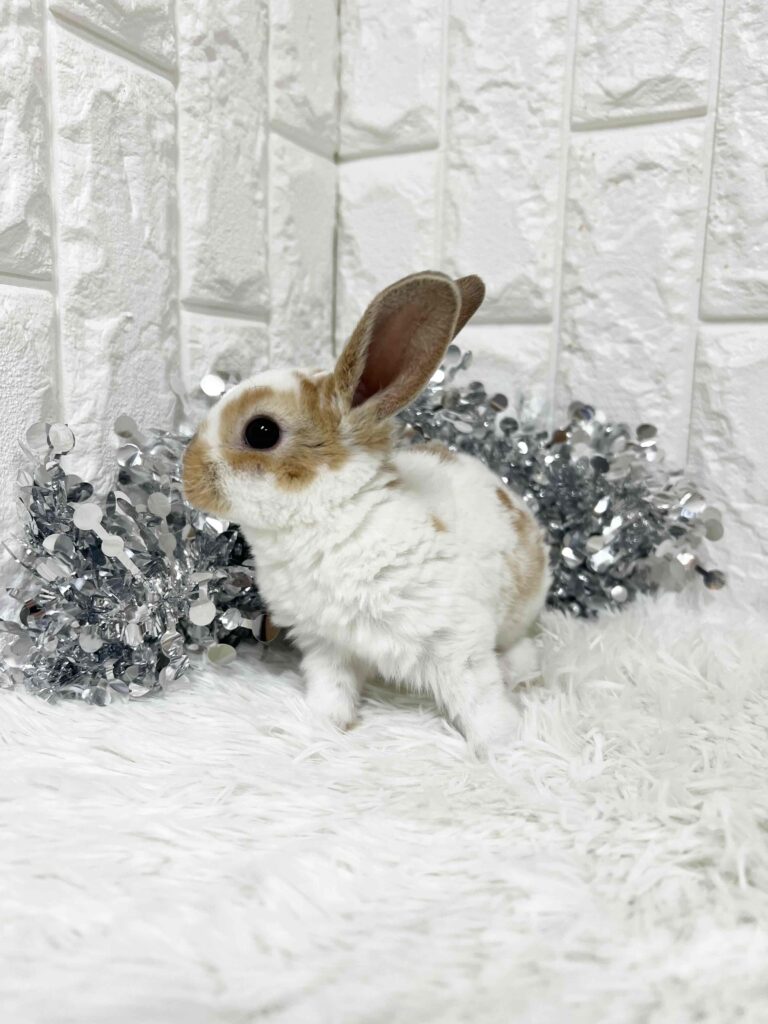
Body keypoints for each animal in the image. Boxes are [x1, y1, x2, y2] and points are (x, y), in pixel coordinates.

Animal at [182, 271, 551, 754]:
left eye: (261, 431)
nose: (185, 477)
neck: (331, 516)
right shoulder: (327, 645)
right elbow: (332, 691)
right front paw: (316, 727)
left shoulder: (456, 642)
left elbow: (479, 698)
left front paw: (503, 747)